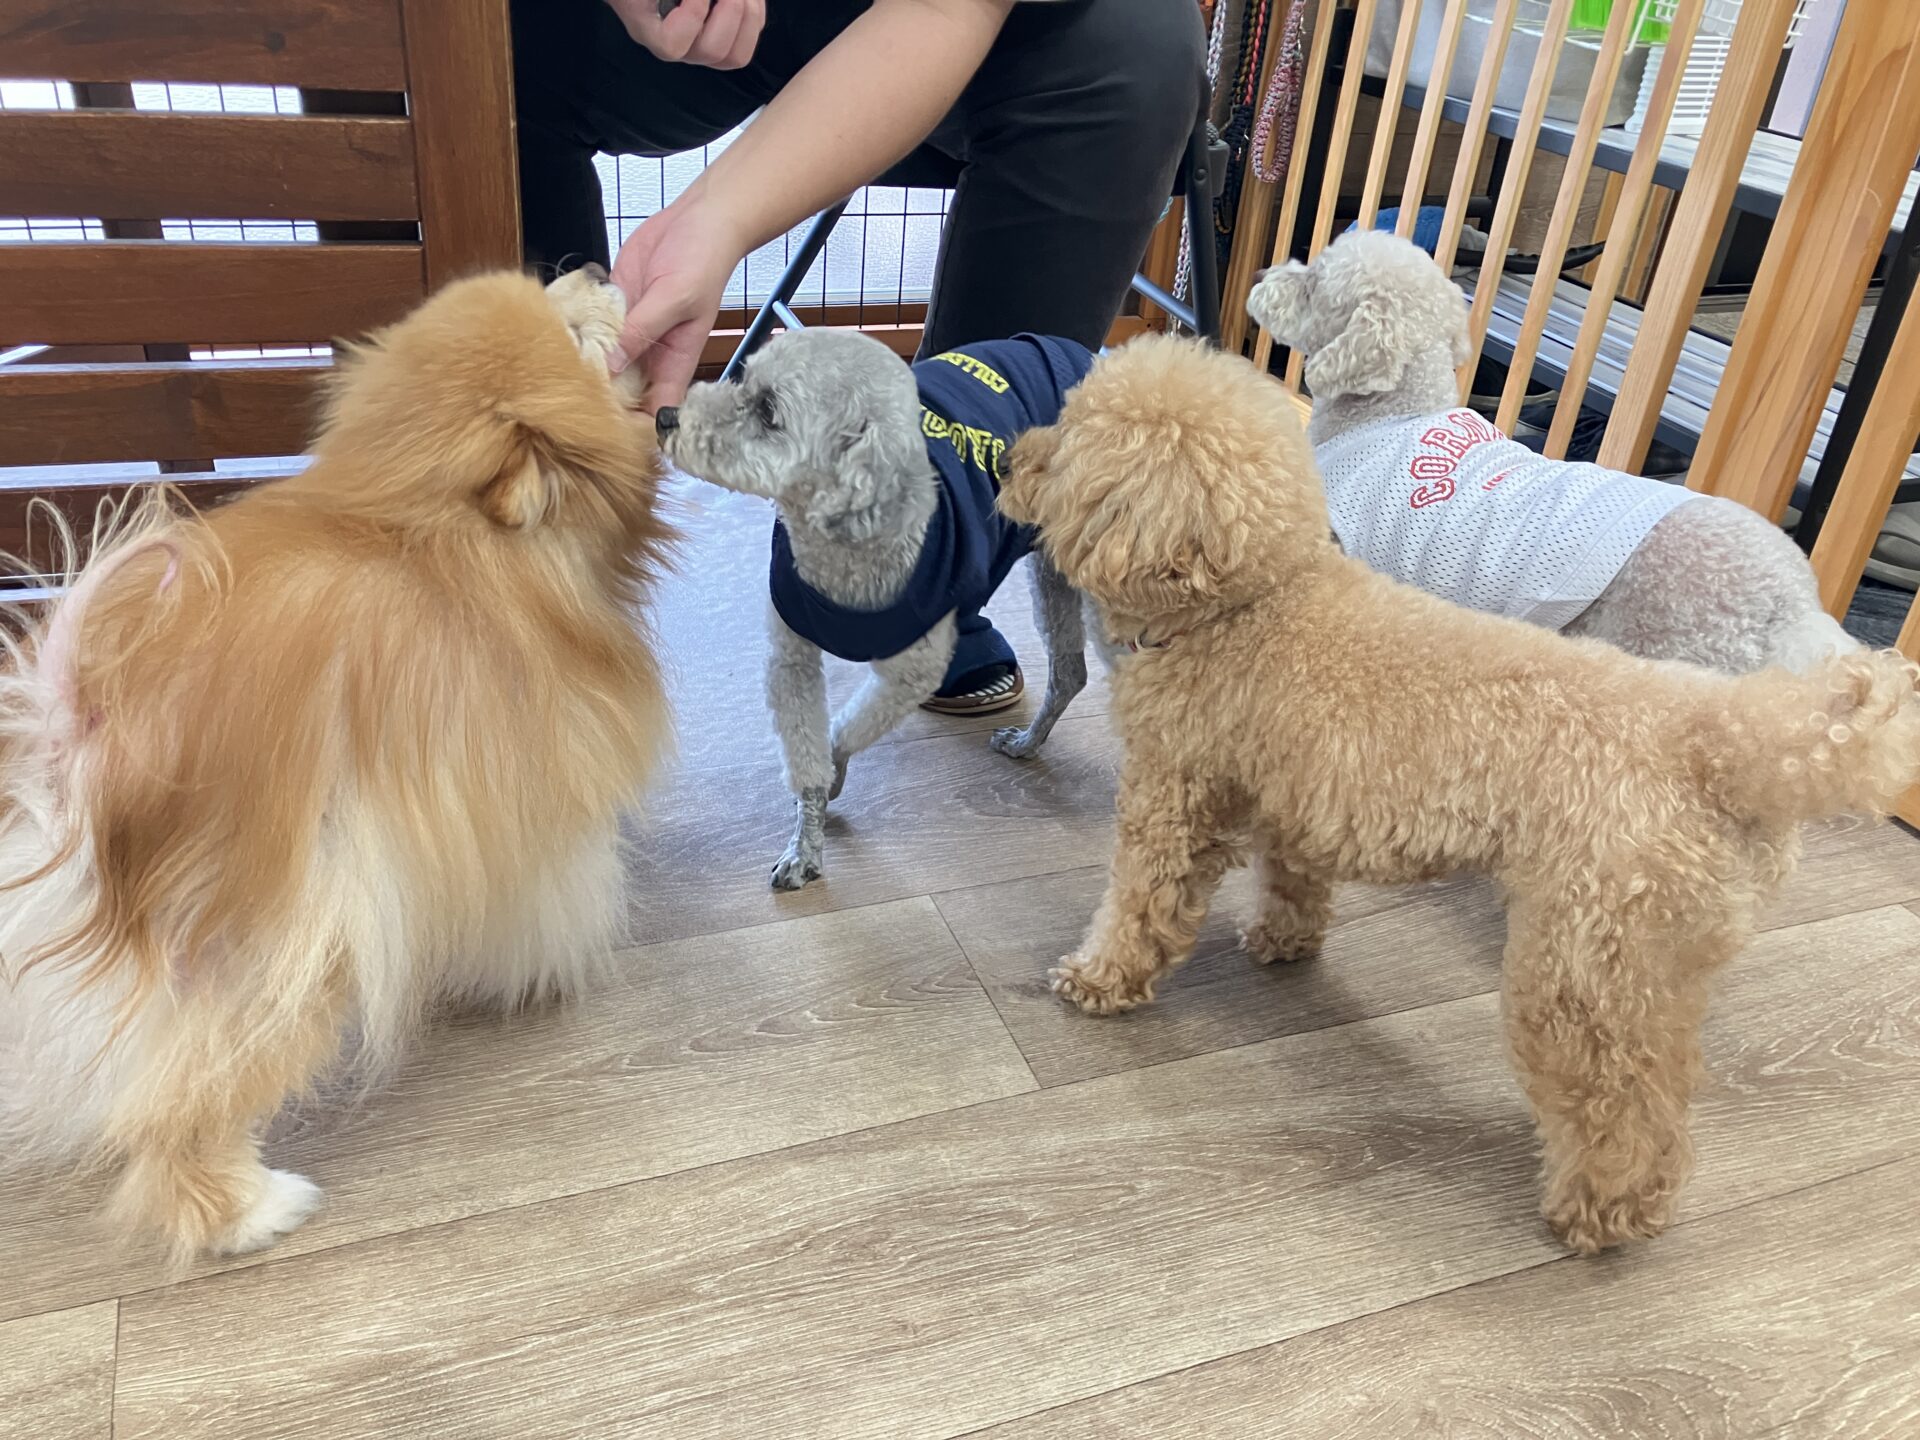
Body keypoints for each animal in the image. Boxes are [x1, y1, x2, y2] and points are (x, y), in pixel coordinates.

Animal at [0, 267, 671, 1260]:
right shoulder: (521, 789)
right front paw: (537, 972)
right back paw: (249, 1212)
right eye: (577, 331)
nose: (594, 268)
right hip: (293, 930)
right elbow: (545, 893)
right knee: (183, 1106)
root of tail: (77, 730)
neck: (418, 525)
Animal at [656, 328, 1097, 889]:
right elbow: (806, 754)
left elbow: (843, 733)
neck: (844, 552)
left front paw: (829, 785)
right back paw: (1027, 743)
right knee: (1071, 673)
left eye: (769, 411)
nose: (664, 416)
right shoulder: (790, 659)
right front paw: (807, 840)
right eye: (743, 378)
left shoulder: (909, 674)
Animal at [1000, 333, 1920, 1253]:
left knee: (1622, 1108)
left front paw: (1096, 979)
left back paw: (1599, 1213)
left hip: (1579, 971)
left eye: (1069, 442)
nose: (1010, 458)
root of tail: (1718, 734)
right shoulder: (1297, 792)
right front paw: (1283, 942)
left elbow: (1139, 906)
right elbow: (1296, 880)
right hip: (1649, 966)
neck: (1255, 599)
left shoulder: (1172, 793)